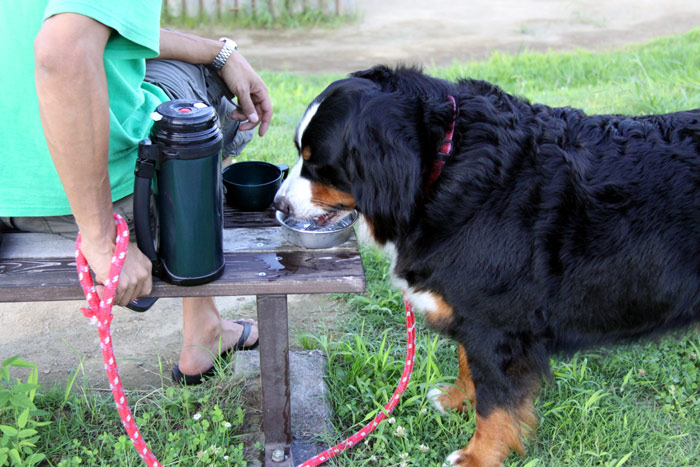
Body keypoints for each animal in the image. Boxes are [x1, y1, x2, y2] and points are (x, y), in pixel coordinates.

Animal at [272, 66, 700, 467]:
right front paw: (457, 399)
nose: (279, 204)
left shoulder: (496, 324)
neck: (443, 169)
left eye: (317, 164)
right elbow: (468, 363)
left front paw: (478, 456)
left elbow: (495, 406)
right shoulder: (470, 309)